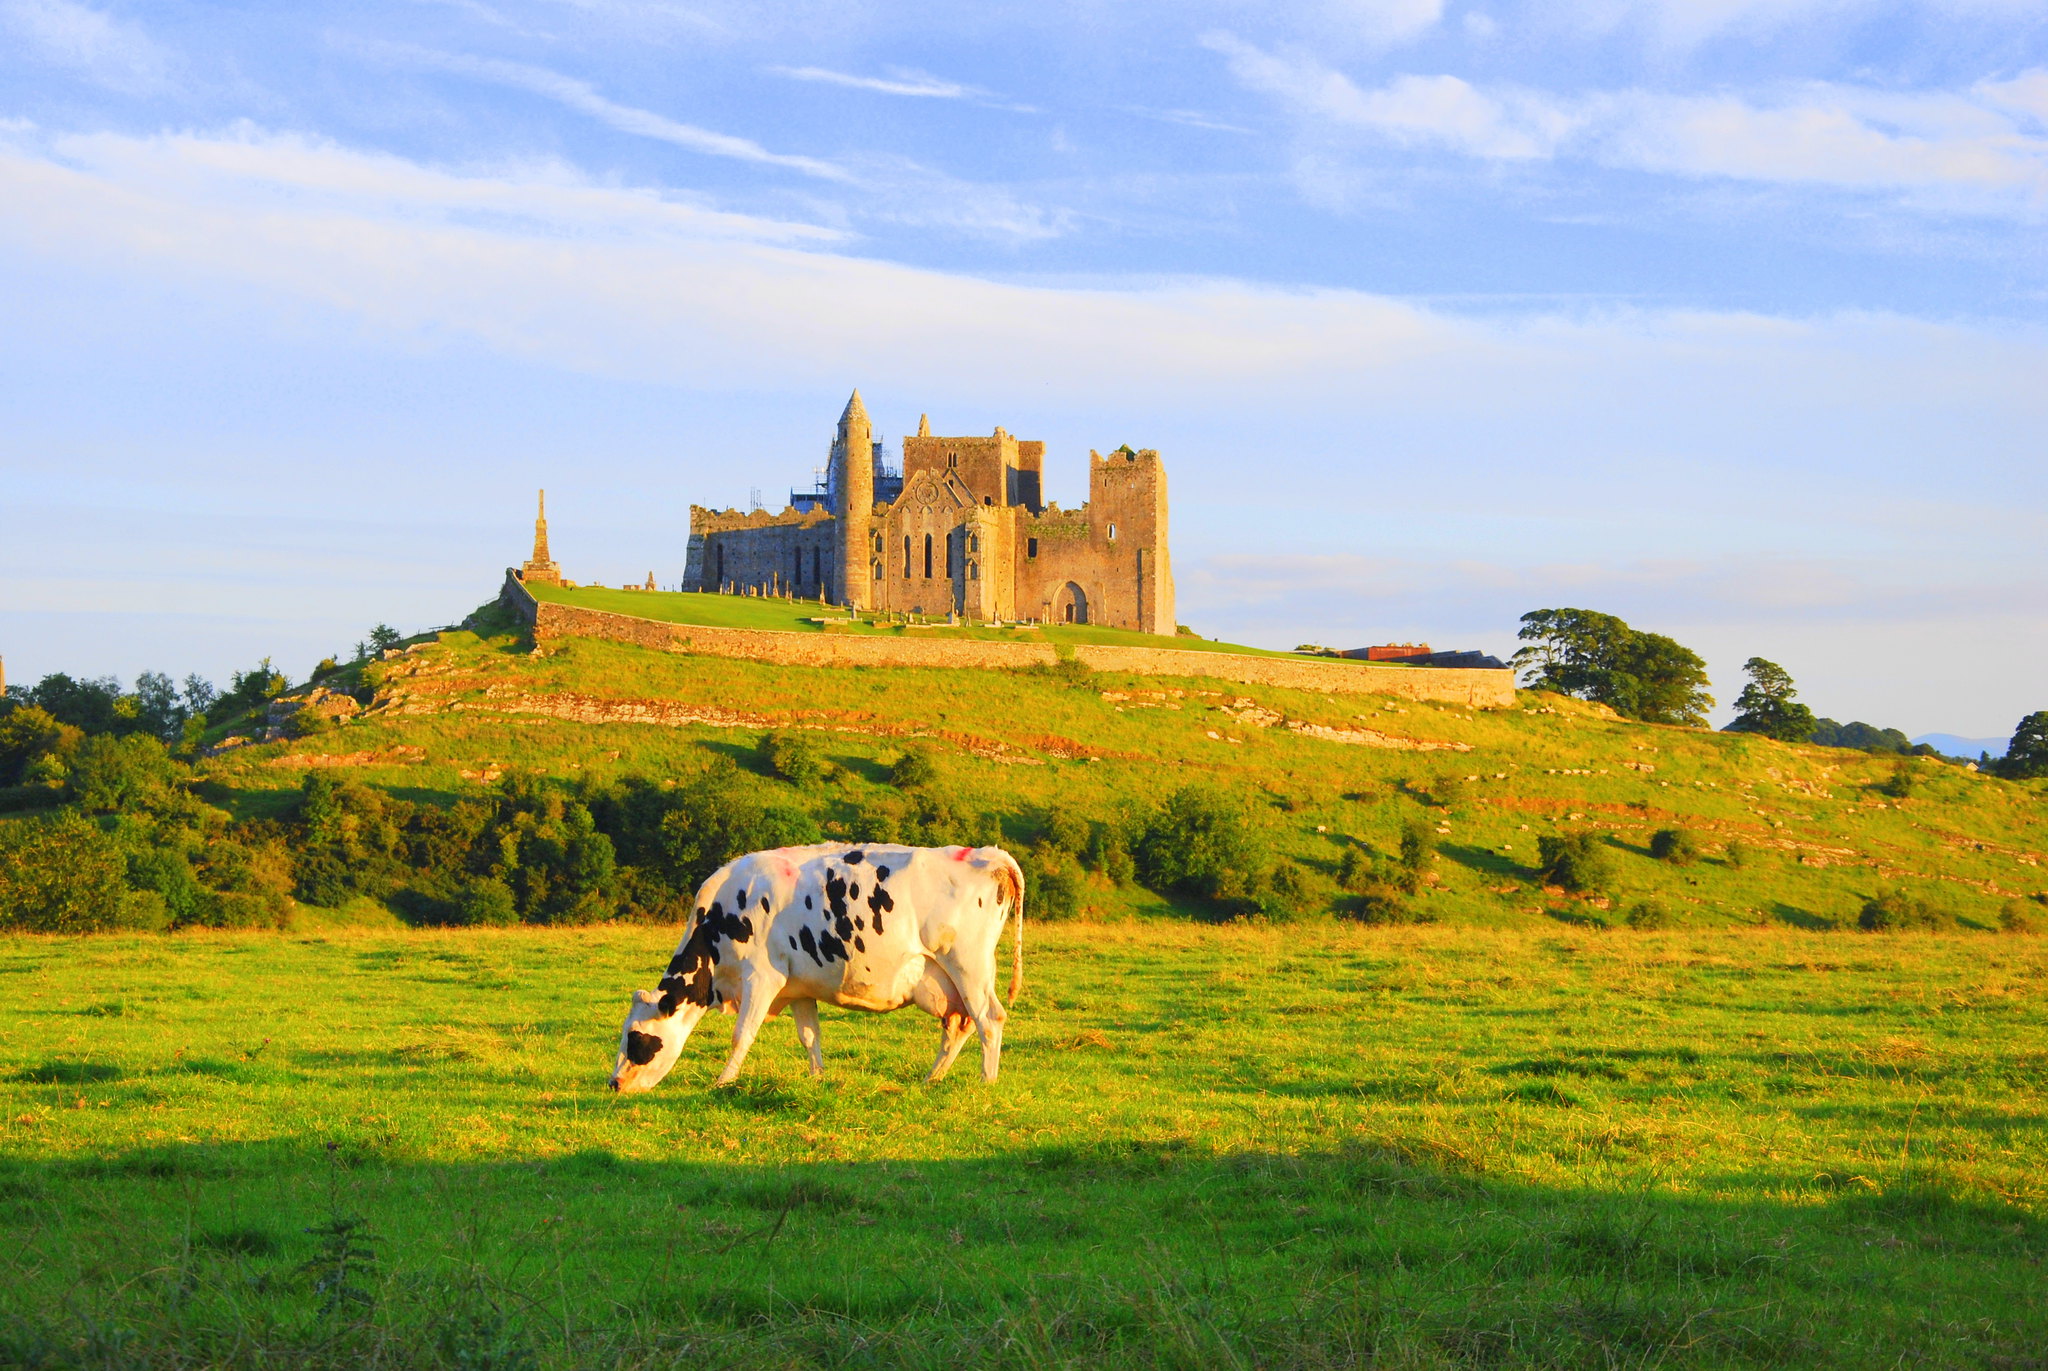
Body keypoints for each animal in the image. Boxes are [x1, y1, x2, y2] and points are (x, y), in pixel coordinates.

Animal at [606, 836, 1024, 1090]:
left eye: (635, 1038)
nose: (614, 1083)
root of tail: (990, 854)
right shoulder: (799, 986)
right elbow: (810, 1036)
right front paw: (818, 1078)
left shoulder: (762, 977)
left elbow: (742, 1034)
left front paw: (723, 1082)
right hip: (951, 979)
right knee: (959, 1024)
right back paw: (930, 1080)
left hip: (968, 965)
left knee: (989, 1018)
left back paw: (987, 1082)